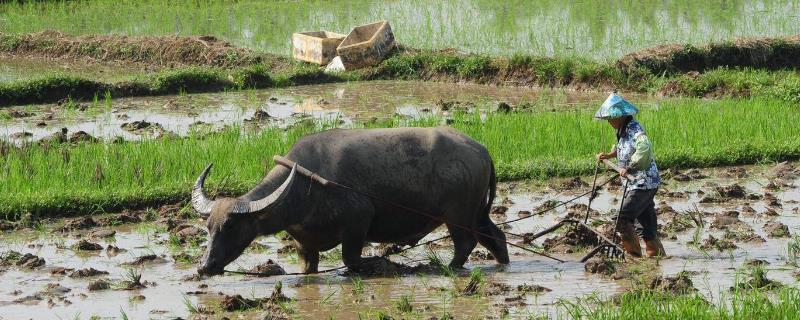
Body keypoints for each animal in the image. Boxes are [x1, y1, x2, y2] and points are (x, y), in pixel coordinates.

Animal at [193, 127, 506, 276]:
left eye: (231, 226)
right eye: (208, 228)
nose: (206, 266)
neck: (303, 186)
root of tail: (481, 150)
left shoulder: (358, 223)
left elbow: (351, 259)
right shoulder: (304, 245)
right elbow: (309, 267)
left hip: (458, 215)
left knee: (466, 243)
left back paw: (448, 267)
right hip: (477, 213)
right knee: (496, 237)